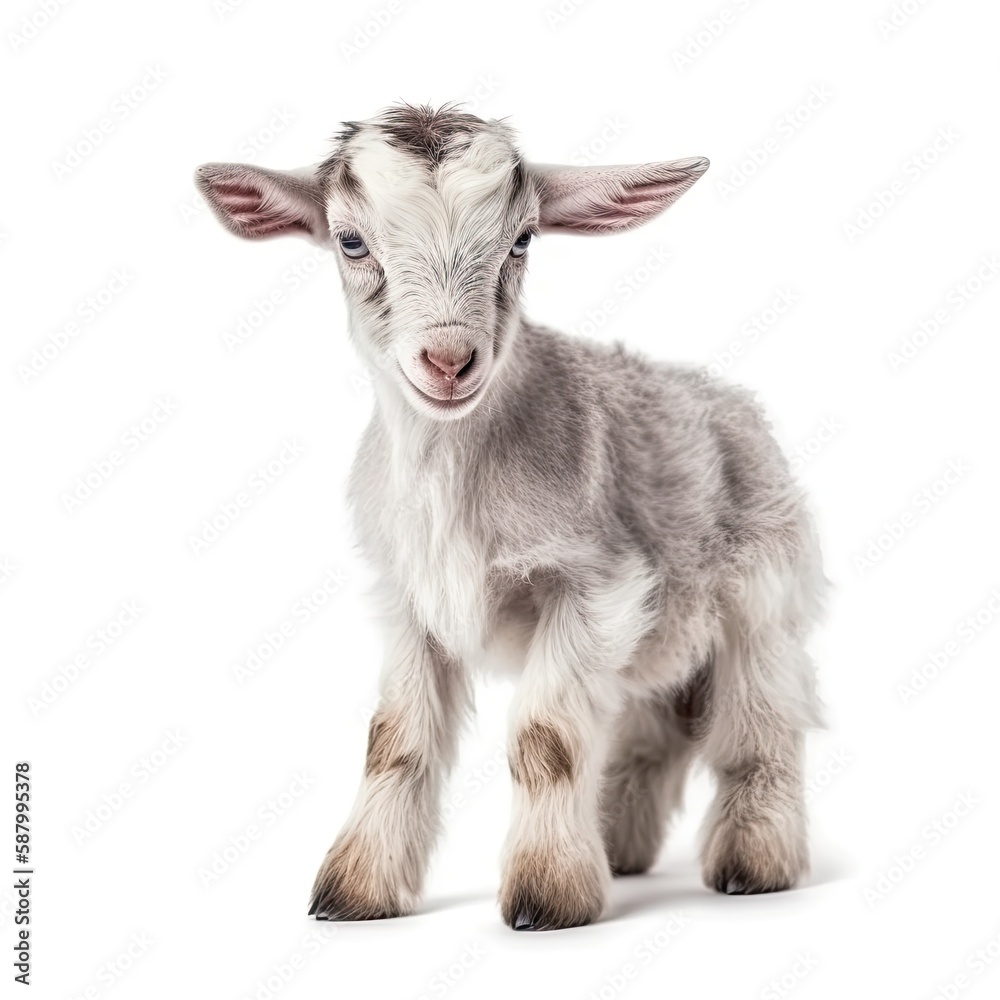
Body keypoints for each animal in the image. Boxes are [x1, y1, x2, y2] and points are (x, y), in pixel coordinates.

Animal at [196, 103, 825, 931]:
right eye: (351, 241)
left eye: (522, 240)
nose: (449, 360)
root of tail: (733, 404)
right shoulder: (411, 601)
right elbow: (395, 741)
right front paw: (357, 891)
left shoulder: (593, 587)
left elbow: (544, 739)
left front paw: (546, 895)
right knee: (650, 728)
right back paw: (617, 848)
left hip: (762, 598)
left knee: (760, 726)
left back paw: (755, 863)